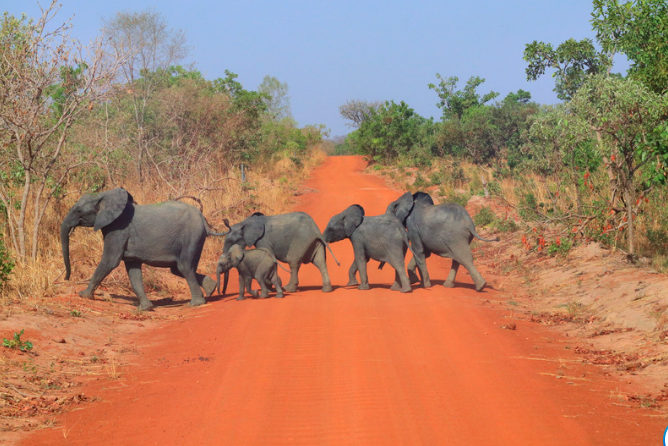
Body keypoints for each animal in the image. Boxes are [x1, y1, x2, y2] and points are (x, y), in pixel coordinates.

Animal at [59, 187, 224, 310]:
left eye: (79, 211)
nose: (66, 279)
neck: (104, 195)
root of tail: (203, 219)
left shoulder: (118, 229)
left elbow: (110, 261)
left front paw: (83, 295)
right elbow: (133, 270)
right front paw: (145, 308)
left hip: (191, 235)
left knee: (183, 267)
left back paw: (196, 303)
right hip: (196, 238)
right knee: (179, 269)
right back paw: (211, 289)